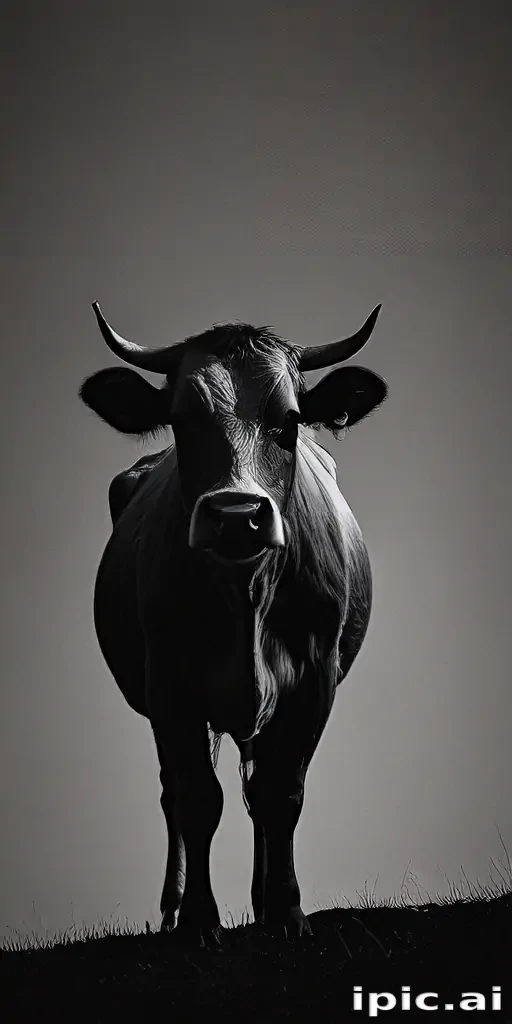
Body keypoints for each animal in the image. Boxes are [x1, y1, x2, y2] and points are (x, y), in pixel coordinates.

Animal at [79, 301, 387, 944]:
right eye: (181, 420)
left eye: (289, 421)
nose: (236, 515)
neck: (245, 593)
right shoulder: (169, 685)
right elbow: (197, 799)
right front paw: (200, 921)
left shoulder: (313, 681)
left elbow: (280, 794)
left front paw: (286, 913)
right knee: (176, 795)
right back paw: (173, 909)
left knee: (254, 791)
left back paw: (261, 899)